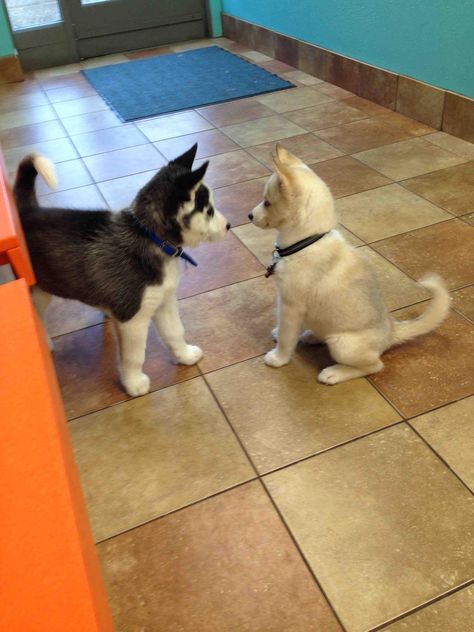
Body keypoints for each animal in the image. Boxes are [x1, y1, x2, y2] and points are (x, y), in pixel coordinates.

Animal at [14, 146, 230, 398]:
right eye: (209, 211)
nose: (229, 226)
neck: (151, 236)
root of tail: (27, 211)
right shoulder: (132, 318)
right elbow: (134, 356)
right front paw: (134, 383)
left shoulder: (164, 301)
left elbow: (175, 331)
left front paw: (184, 355)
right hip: (38, 290)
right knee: (36, 314)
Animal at [250, 144, 450, 386]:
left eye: (267, 202)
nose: (249, 215)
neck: (307, 240)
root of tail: (391, 332)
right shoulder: (285, 302)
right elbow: (283, 326)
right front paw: (279, 334)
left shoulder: (291, 305)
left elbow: (287, 338)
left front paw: (278, 358)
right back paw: (312, 335)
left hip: (342, 344)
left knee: (374, 366)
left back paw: (334, 373)